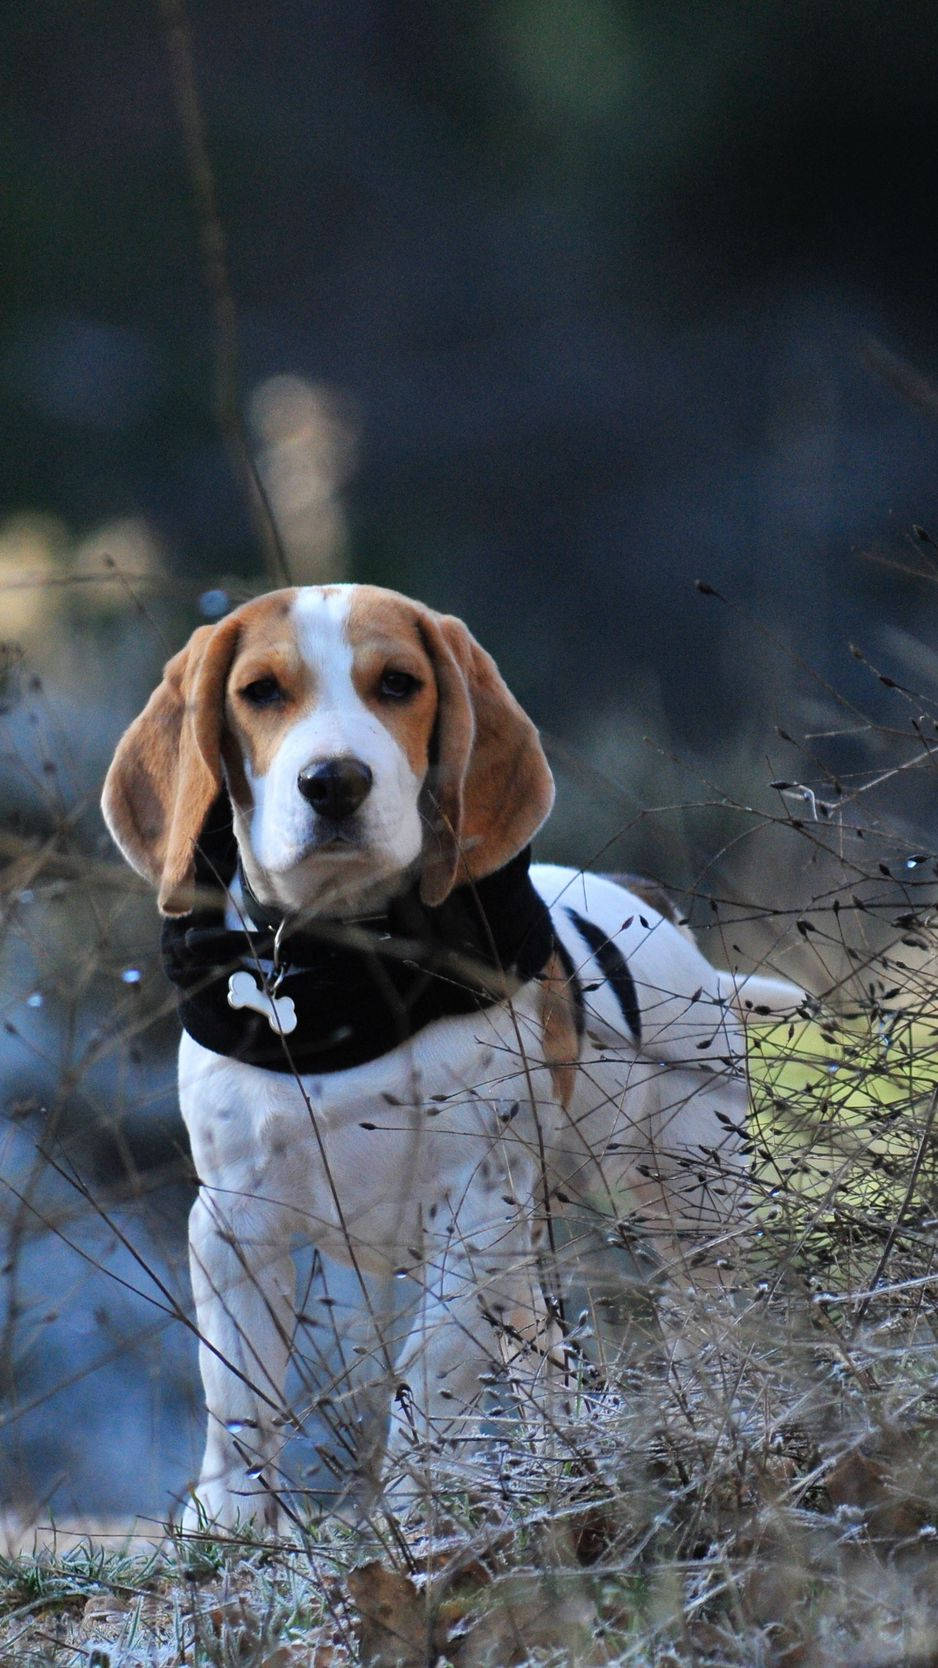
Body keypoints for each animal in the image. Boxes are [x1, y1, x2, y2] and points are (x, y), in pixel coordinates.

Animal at [102, 580, 801, 1527]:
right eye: (260, 692)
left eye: (399, 684)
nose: (334, 782)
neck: (346, 974)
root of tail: (654, 909)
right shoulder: (235, 1224)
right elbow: (240, 1402)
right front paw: (233, 1525)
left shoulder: (471, 1215)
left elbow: (428, 1379)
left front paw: (412, 1512)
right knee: (547, 1365)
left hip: (691, 1203)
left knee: (709, 1325)